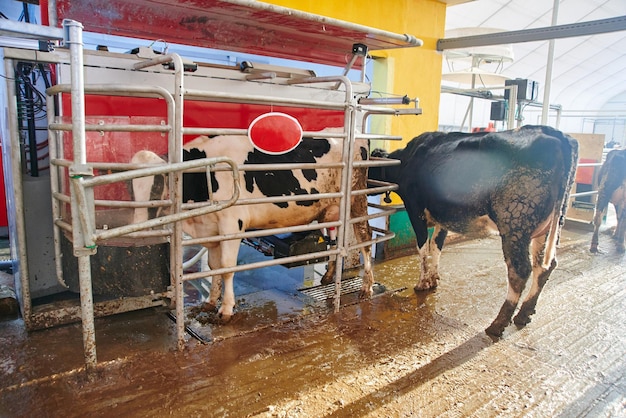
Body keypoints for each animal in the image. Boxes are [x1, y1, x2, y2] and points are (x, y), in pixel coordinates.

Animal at [132, 131, 372, 320]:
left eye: (158, 184)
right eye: (130, 187)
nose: (139, 226)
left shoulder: (231, 224)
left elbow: (227, 268)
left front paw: (226, 309)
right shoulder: (212, 229)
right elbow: (214, 266)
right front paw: (210, 302)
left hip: (357, 199)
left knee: (365, 238)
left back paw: (367, 287)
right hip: (332, 207)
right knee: (336, 237)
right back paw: (329, 276)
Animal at [368, 124, 576, 336]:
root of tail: (553, 133)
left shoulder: (415, 209)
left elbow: (423, 248)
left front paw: (422, 283)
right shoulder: (443, 215)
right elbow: (436, 246)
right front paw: (434, 278)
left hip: (514, 223)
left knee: (520, 271)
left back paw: (498, 324)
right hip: (548, 227)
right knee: (543, 266)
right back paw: (524, 314)